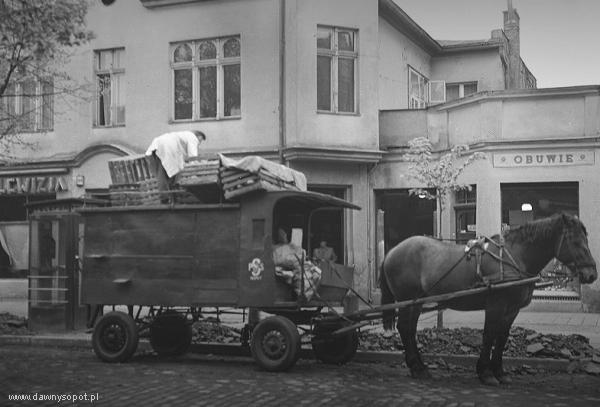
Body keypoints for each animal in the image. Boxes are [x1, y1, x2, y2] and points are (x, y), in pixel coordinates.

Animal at [382, 214, 596, 386]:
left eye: (586, 239)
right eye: (575, 241)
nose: (592, 274)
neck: (514, 257)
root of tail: (391, 251)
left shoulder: (512, 309)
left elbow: (501, 337)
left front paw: (499, 372)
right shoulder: (496, 305)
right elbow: (489, 335)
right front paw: (485, 373)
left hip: (416, 302)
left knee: (409, 330)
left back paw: (420, 367)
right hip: (407, 300)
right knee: (404, 328)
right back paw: (416, 367)